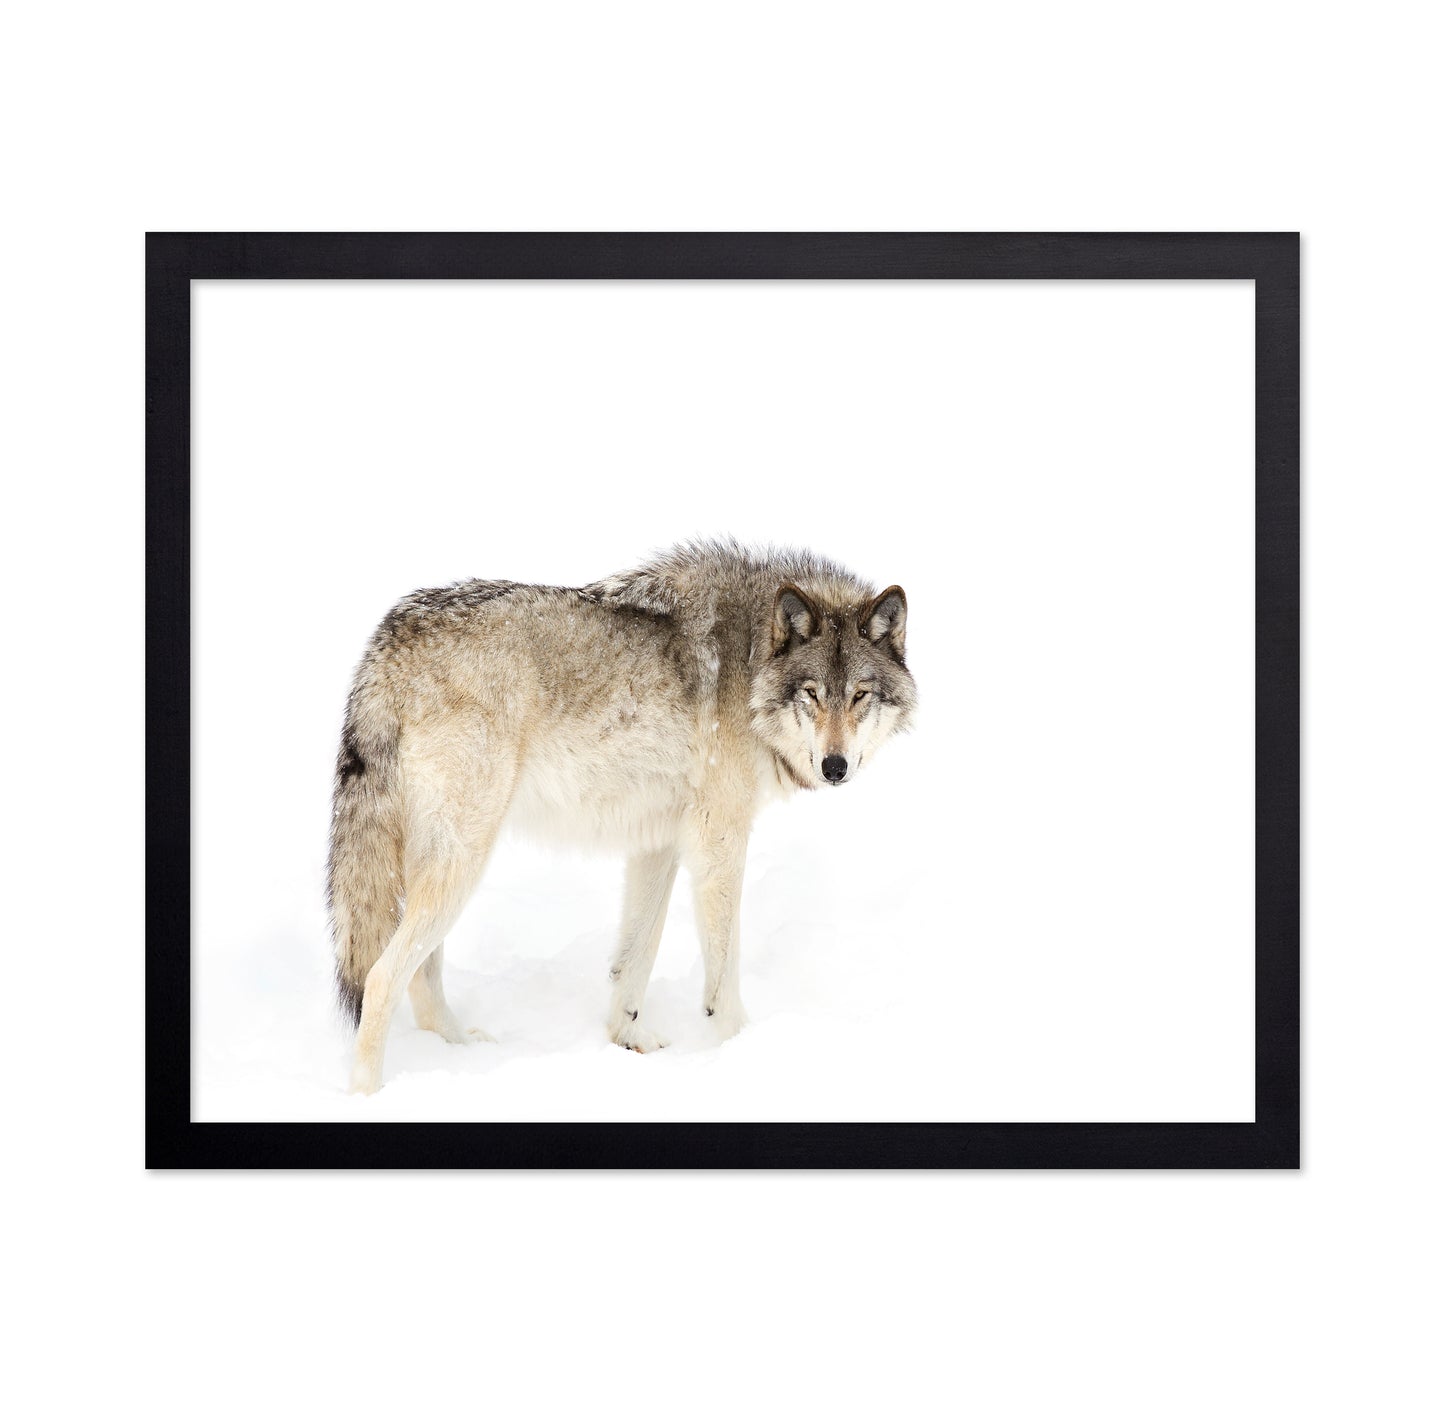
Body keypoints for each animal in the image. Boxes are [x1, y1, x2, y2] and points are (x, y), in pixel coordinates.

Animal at [327, 539, 917, 1093]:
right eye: (812, 694)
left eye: (860, 696)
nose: (835, 767)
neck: (751, 661)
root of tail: (390, 636)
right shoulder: (718, 842)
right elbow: (723, 976)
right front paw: (740, 1050)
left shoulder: (659, 842)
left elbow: (634, 959)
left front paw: (627, 1038)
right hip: (463, 860)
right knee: (381, 978)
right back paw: (367, 1093)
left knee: (421, 979)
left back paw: (460, 1052)